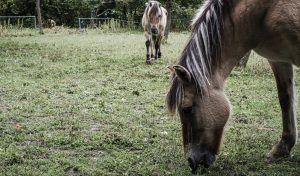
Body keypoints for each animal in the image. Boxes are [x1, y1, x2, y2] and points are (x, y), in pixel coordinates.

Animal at [166, 0, 300, 173]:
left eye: (187, 109)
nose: (191, 161)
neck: (265, 10)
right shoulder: (279, 60)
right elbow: (285, 100)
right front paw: (283, 148)